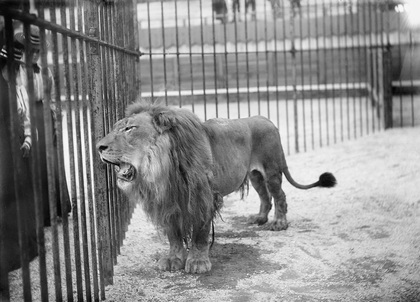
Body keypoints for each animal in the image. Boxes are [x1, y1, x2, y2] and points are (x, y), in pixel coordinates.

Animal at [97, 103, 336, 274]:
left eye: (130, 128)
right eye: (116, 128)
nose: (99, 146)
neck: (163, 169)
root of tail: (266, 119)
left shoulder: (203, 197)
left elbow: (200, 234)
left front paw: (197, 262)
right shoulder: (169, 202)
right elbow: (173, 235)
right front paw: (174, 259)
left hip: (272, 170)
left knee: (280, 196)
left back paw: (279, 223)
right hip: (255, 175)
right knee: (264, 197)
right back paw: (259, 218)